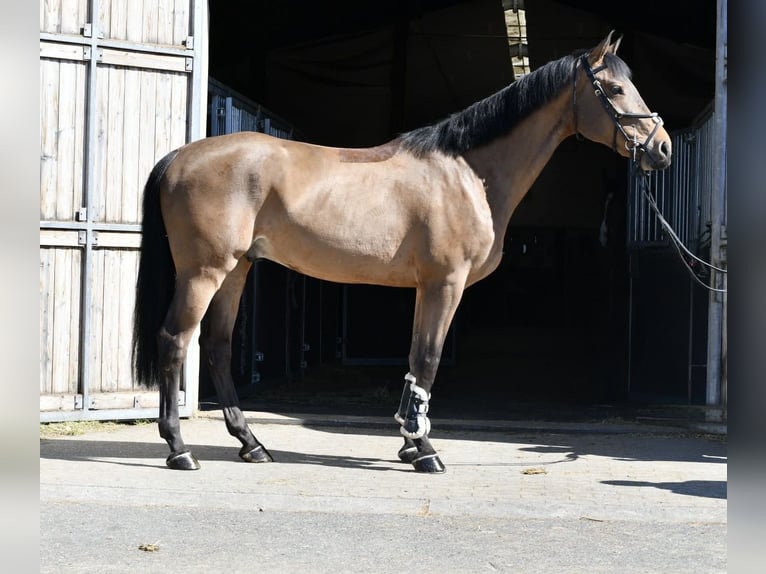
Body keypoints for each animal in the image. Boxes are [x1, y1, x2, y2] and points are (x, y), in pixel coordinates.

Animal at [132, 31, 671, 472]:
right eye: (615, 90)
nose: (662, 148)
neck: (468, 172)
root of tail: (179, 156)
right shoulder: (444, 284)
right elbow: (429, 359)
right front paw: (425, 450)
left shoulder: (425, 288)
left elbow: (415, 359)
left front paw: (410, 444)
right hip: (204, 271)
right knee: (174, 341)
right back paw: (179, 449)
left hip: (237, 269)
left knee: (217, 346)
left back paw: (252, 444)